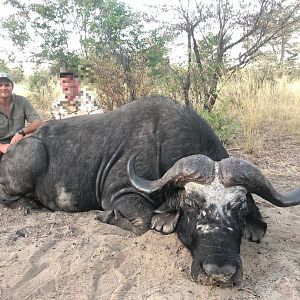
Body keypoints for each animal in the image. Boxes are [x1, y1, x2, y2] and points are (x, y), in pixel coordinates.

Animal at [0, 96, 298, 286]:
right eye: (191, 205)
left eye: (240, 208)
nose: (219, 272)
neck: (162, 144)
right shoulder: (119, 195)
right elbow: (144, 221)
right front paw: (107, 217)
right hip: (32, 154)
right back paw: (27, 205)